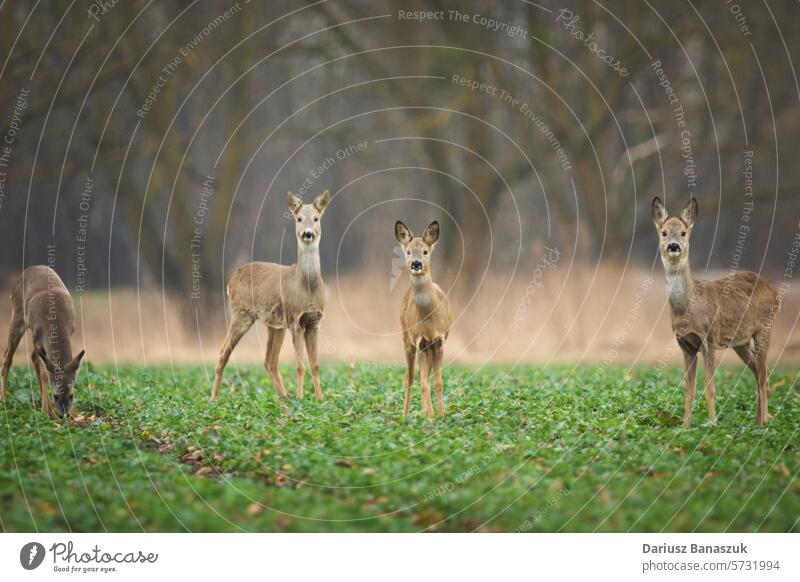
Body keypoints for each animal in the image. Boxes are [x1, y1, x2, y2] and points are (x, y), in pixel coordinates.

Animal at [0, 266, 86, 422]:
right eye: (55, 396)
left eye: (71, 395)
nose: (64, 415)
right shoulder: (36, 338)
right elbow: (45, 374)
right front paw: (47, 412)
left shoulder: (70, 331)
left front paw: (69, 412)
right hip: (17, 315)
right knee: (7, 357)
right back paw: (3, 401)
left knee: (33, 357)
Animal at [209, 190, 332, 402]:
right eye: (299, 219)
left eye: (316, 218)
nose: (308, 233)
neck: (307, 287)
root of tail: (231, 280)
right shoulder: (294, 320)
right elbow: (300, 366)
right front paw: (301, 399)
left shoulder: (314, 321)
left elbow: (315, 365)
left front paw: (319, 400)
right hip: (242, 314)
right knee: (223, 352)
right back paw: (212, 399)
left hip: (274, 325)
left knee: (269, 361)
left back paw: (284, 399)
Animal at [394, 221, 450, 418]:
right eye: (408, 251)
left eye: (425, 251)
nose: (416, 263)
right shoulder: (420, 342)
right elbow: (425, 384)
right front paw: (430, 417)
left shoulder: (439, 341)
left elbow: (438, 383)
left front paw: (441, 416)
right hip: (407, 340)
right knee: (411, 377)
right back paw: (405, 415)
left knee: (422, 376)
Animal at [652, 197, 780, 428]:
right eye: (664, 232)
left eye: (683, 232)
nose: (674, 246)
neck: (688, 307)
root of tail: (775, 291)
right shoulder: (685, 344)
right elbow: (689, 389)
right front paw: (684, 426)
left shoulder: (709, 339)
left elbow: (710, 388)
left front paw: (712, 425)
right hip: (740, 342)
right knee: (759, 373)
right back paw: (757, 422)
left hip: (765, 329)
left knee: (763, 375)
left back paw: (763, 424)